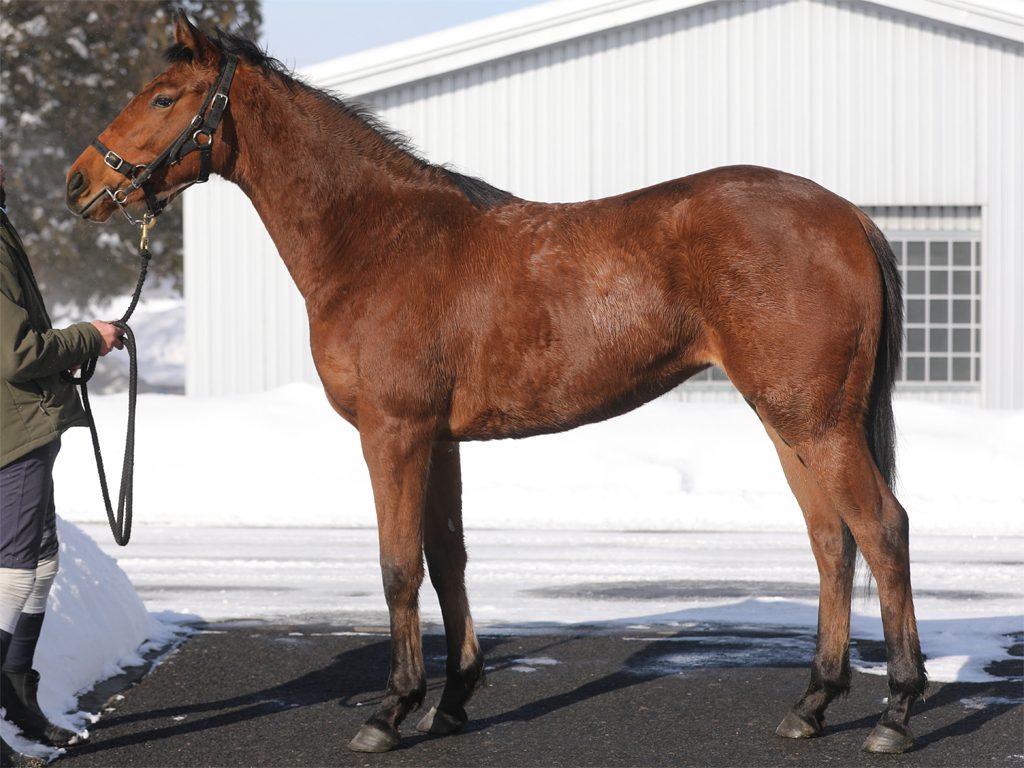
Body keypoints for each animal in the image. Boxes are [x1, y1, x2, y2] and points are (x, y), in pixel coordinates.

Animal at [66, 11, 927, 755]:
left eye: (164, 98)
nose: (77, 183)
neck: (378, 240)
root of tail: (849, 217)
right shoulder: (438, 440)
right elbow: (447, 558)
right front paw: (449, 703)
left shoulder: (393, 433)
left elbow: (397, 568)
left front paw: (390, 711)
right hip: (789, 424)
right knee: (831, 542)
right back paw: (812, 704)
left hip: (817, 422)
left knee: (882, 528)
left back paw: (897, 711)